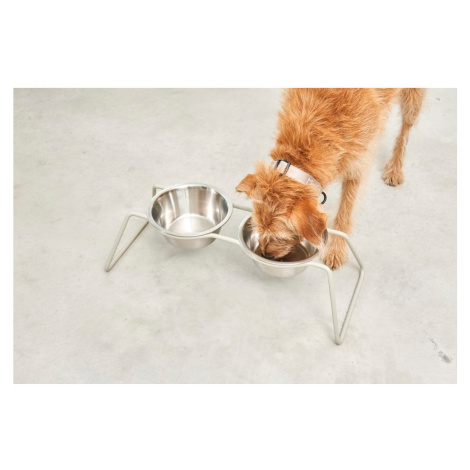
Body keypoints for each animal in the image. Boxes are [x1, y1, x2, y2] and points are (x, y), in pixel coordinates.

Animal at [236, 88, 425, 269]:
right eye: (258, 226)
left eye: (280, 237)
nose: (265, 255)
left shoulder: (356, 166)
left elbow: (345, 213)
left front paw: (336, 250)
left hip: (412, 99)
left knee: (406, 127)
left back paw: (395, 168)